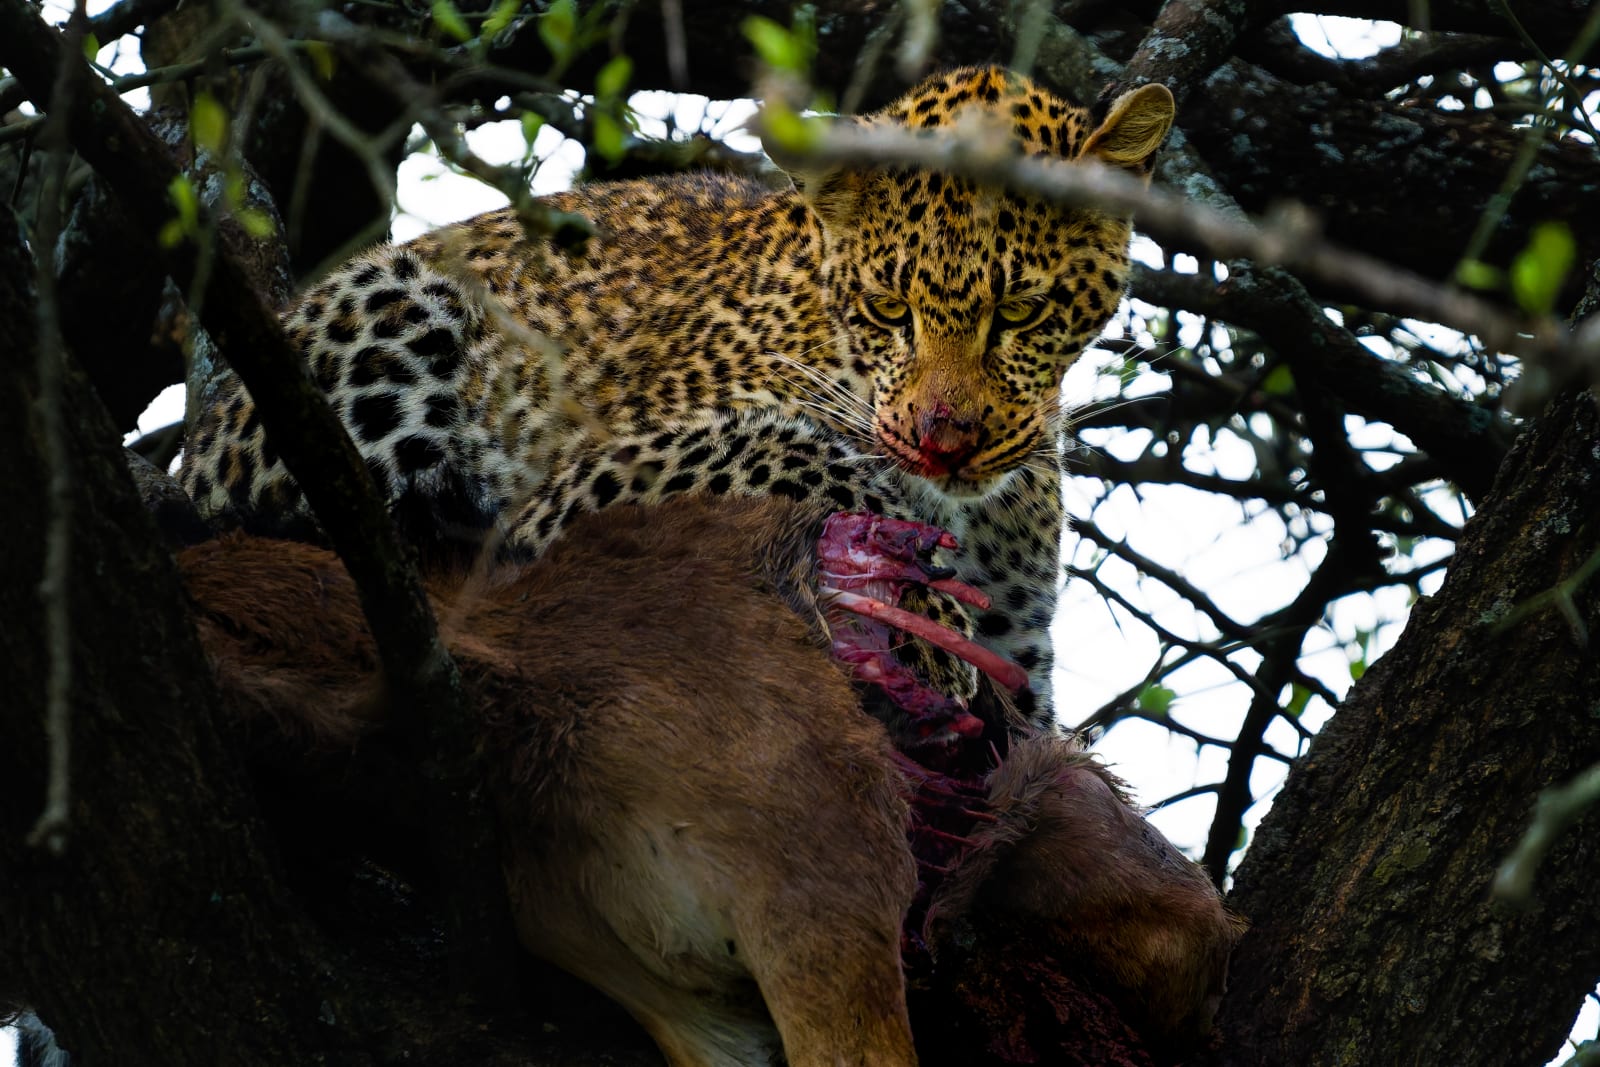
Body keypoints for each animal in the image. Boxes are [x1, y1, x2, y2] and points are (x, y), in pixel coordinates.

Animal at [180, 65, 1175, 728]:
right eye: (890, 308)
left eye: (1023, 311)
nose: (946, 443)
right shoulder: (575, 492)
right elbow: (799, 447)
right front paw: (920, 616)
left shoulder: (1024, 653)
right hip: (395, 312)